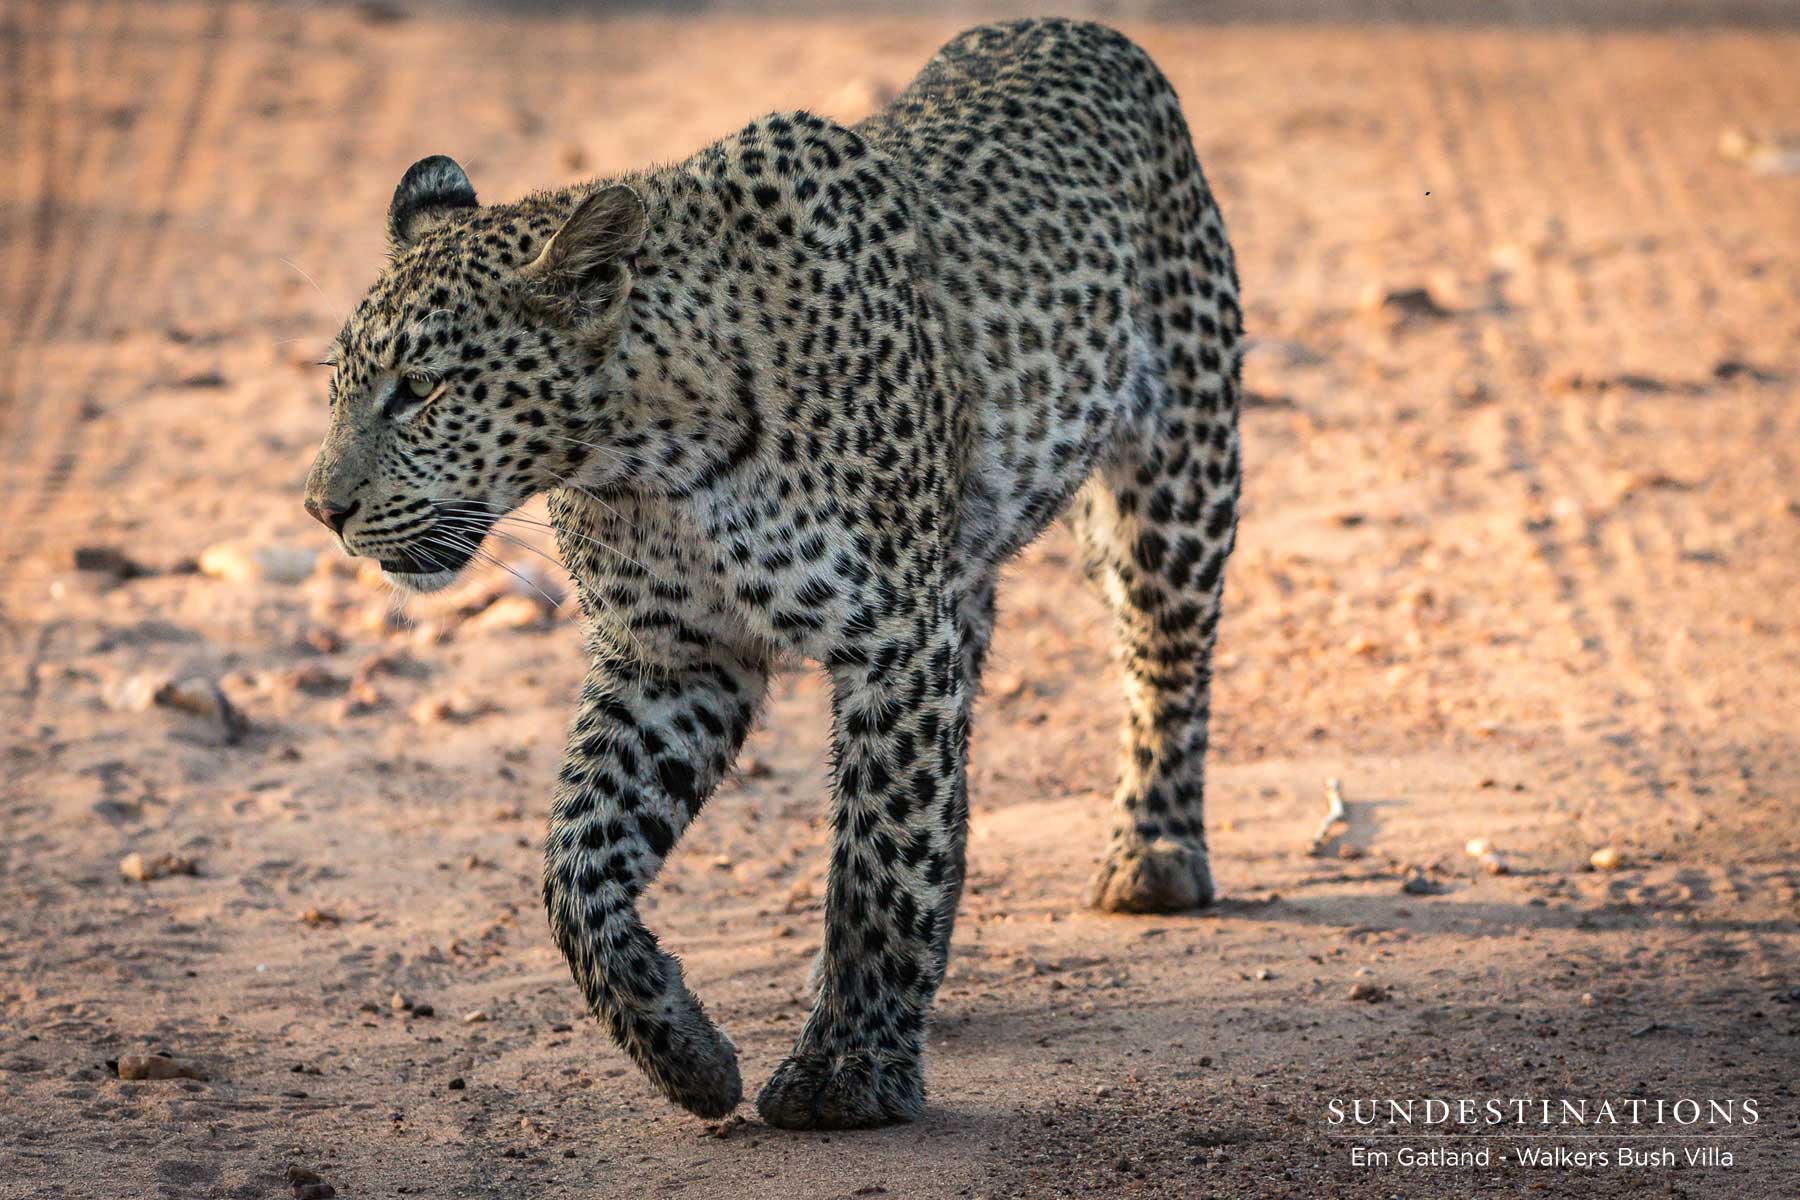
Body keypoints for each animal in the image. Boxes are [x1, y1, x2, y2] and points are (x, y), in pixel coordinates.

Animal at [303, 17, 1242, 1131]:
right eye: (339, 388)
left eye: (421, 391)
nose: (321, 508)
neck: (647, 462)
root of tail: (1079, 27)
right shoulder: (673, 657)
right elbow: (575, 862)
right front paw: (682, 1049)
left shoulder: (892, 642)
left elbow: (877, 856)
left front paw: (850, 1071)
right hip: (961, 575)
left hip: (1177, 477)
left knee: (1165, 659)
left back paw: (1156, 857)